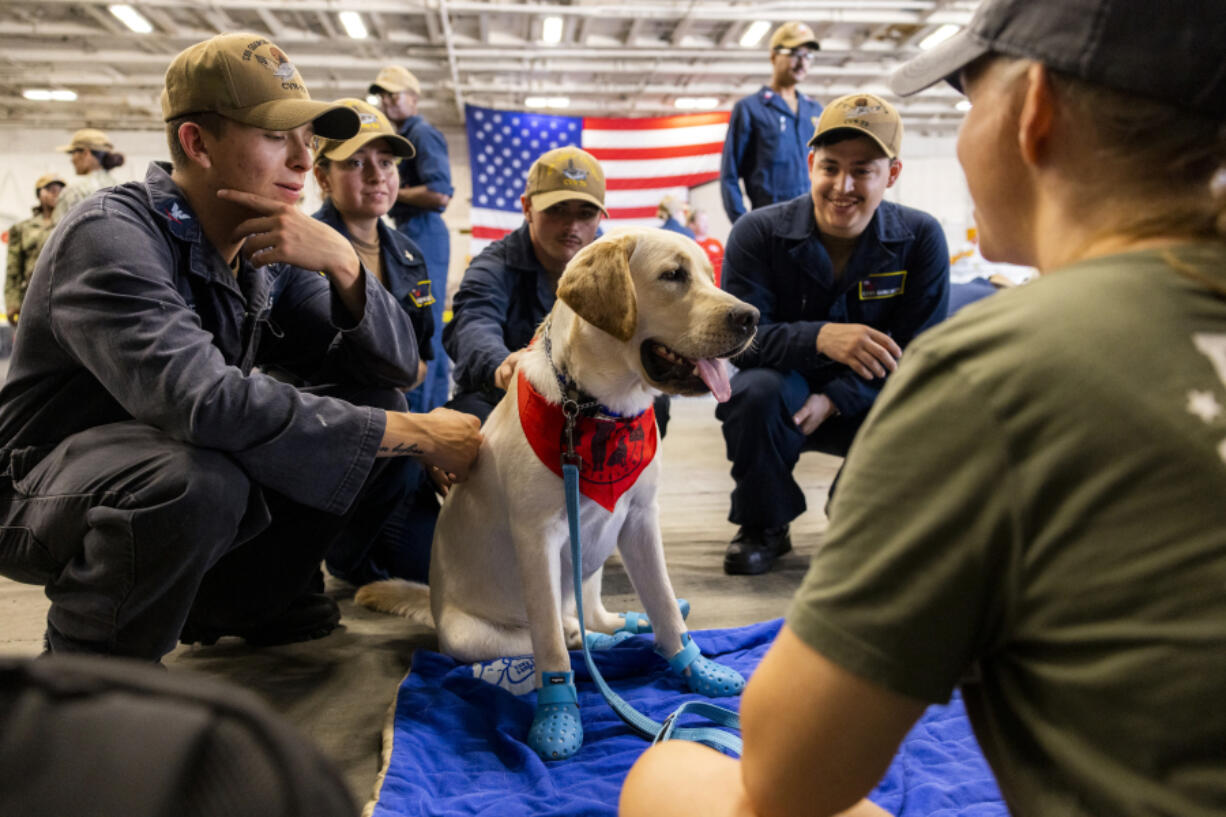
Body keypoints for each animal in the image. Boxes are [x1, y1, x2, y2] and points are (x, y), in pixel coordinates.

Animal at [355, 226, 755, 755]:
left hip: (594, 566)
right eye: (673, 275)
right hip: (472, 636)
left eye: (712, 275)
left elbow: (666, 603)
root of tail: (436, 610)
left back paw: (620, 628)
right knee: (559, 635)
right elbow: (550, 647)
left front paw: (696, 669)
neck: (594, 410)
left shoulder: (640, 518)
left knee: (593, 620)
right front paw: (558, 717)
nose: (751, 317)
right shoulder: (537, 539)